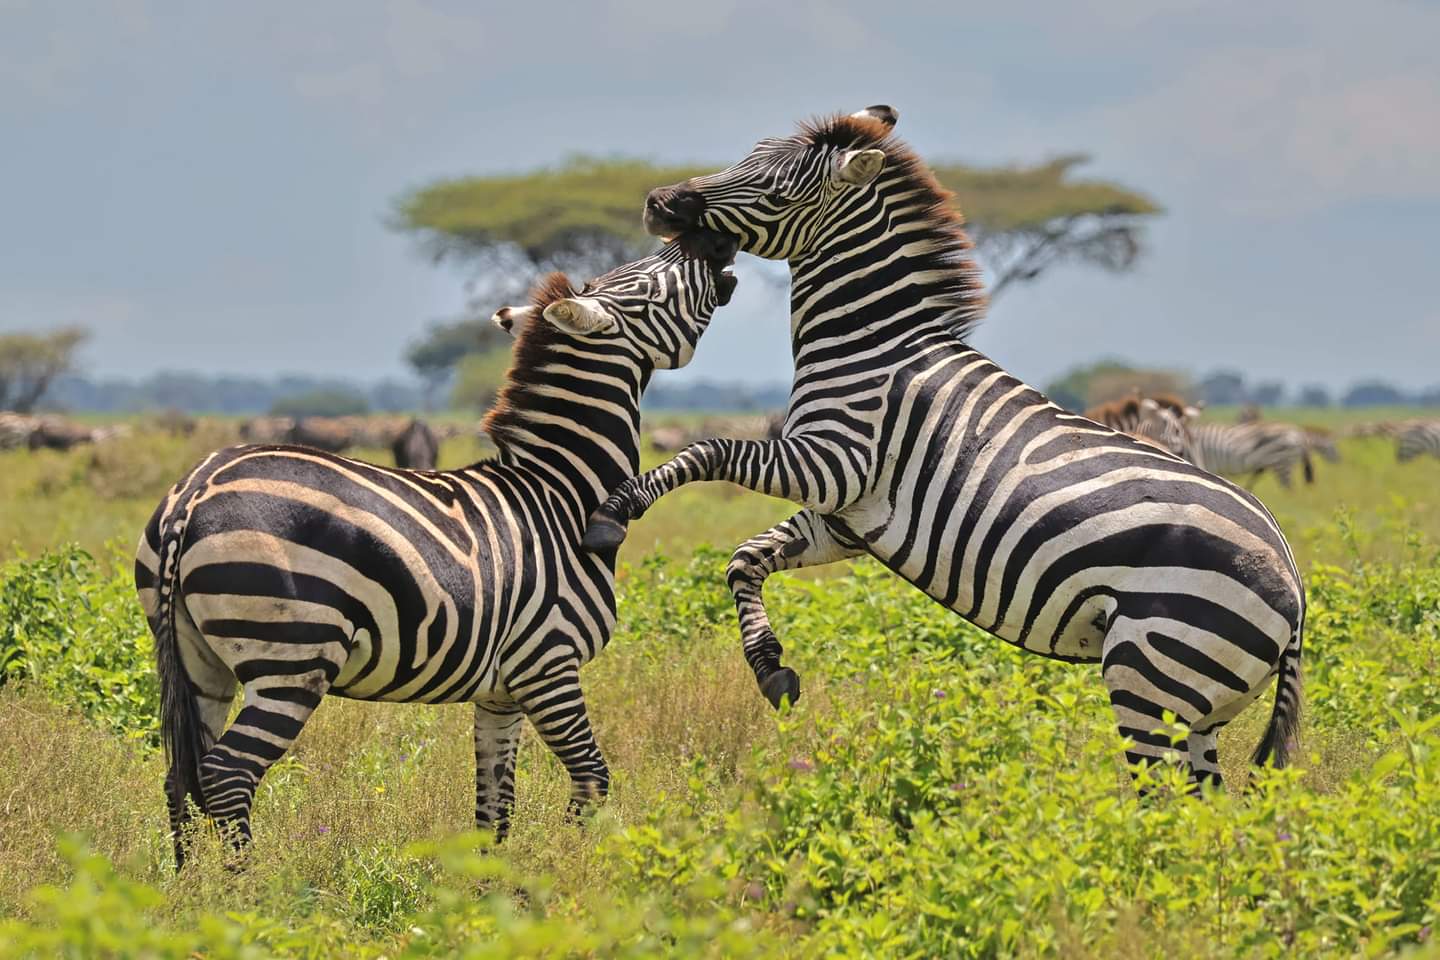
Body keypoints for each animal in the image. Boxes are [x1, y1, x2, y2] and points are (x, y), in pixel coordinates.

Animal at [132, 228, 743, 869]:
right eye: (648, 284)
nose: (715, 247)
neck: (562, 494)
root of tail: (196, 492)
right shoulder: (549, 661)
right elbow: (592, 779)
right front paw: (576, 870)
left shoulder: (502, 691)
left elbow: (495, 808)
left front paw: (489, 890)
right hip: (292, 656)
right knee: (227, 774)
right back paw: (242, 887)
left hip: (198, 658)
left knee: (182, 774)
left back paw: (190, 887)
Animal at [581, 107, 1307, 794]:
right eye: (747, 158)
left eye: (774, 189)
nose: (656, 201)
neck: (871, 344)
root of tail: (1295, 587)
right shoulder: (844, 517)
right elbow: (744, 559)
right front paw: (771, 669)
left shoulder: (831, 460)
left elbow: (705, 451)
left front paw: (615, 510)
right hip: (1200, 706)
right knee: (1203, 813)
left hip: (1152, 672)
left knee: (1164, 806)